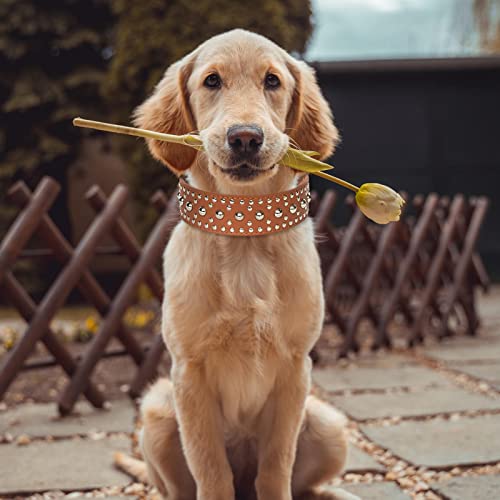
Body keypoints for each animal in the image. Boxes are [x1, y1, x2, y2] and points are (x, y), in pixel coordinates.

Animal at [116, 30, 352, 500]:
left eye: (272, 81)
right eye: (212, 81)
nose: (245, 137)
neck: (244, 231)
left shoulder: (296, 367)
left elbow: (277, 466)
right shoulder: (189, 372)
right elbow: (210, 469)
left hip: (328, 423)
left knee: (304, 486)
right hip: (157, 410)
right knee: (179, 489)